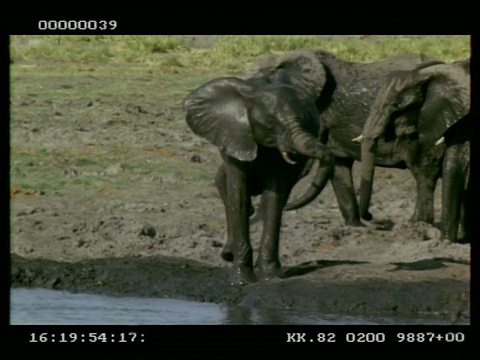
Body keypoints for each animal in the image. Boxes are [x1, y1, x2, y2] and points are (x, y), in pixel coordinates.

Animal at [183, 50, 334, 284]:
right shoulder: (237, 136)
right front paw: (242, 280)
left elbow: (273, 198)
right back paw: (229, 253)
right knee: (223, 184)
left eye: (304, 118)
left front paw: (270, 276)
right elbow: (239, 197)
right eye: (271, 123)